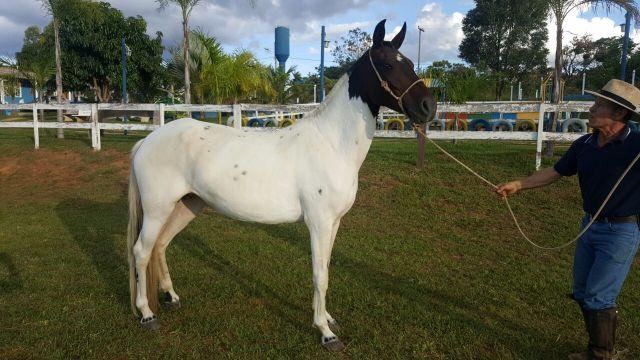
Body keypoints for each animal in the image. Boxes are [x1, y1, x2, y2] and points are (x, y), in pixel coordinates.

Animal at [126, 19, 436, 352]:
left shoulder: (334, 223)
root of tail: (147, 140)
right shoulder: (318, 223)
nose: (428, 107)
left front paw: (328, 318)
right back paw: (146, 314)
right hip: (157, 209)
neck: (331, 143)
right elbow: (319, 274)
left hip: (186, 205)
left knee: (160, 245)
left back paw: (171, 297)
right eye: (388, 64)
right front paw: (325, 332)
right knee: (141, 250)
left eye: (411, 63)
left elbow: (327, 267)